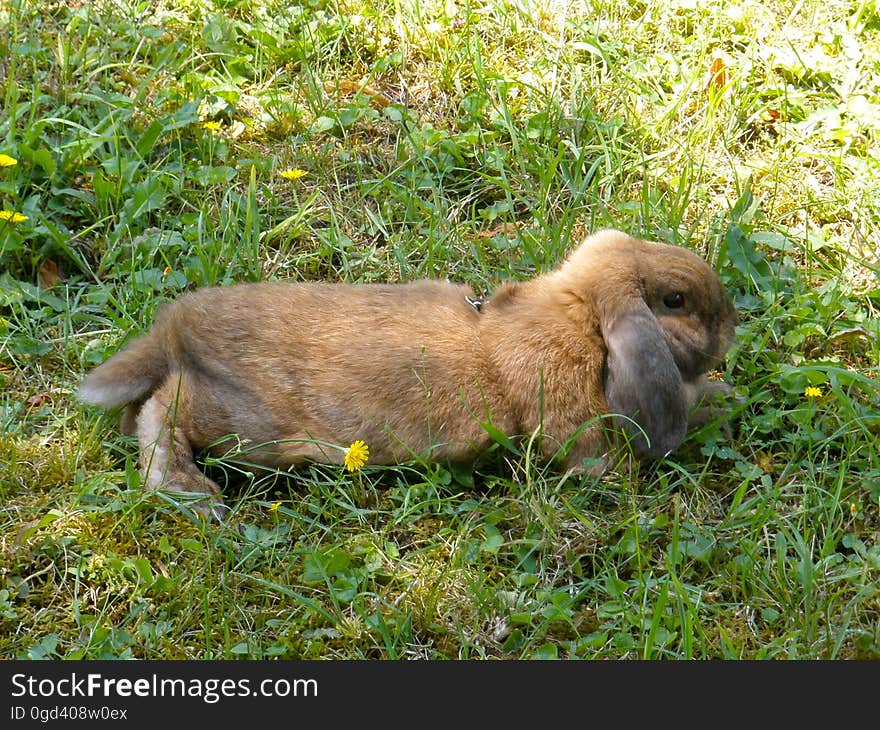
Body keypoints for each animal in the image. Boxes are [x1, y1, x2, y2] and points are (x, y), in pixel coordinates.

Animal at [75, 228, 740, 516]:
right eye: (676, 301)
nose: (733, 326)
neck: (582, 319)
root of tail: (174, 330)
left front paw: (720, 400)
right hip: (243, 422)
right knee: (162, 411)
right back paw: (192, 490)